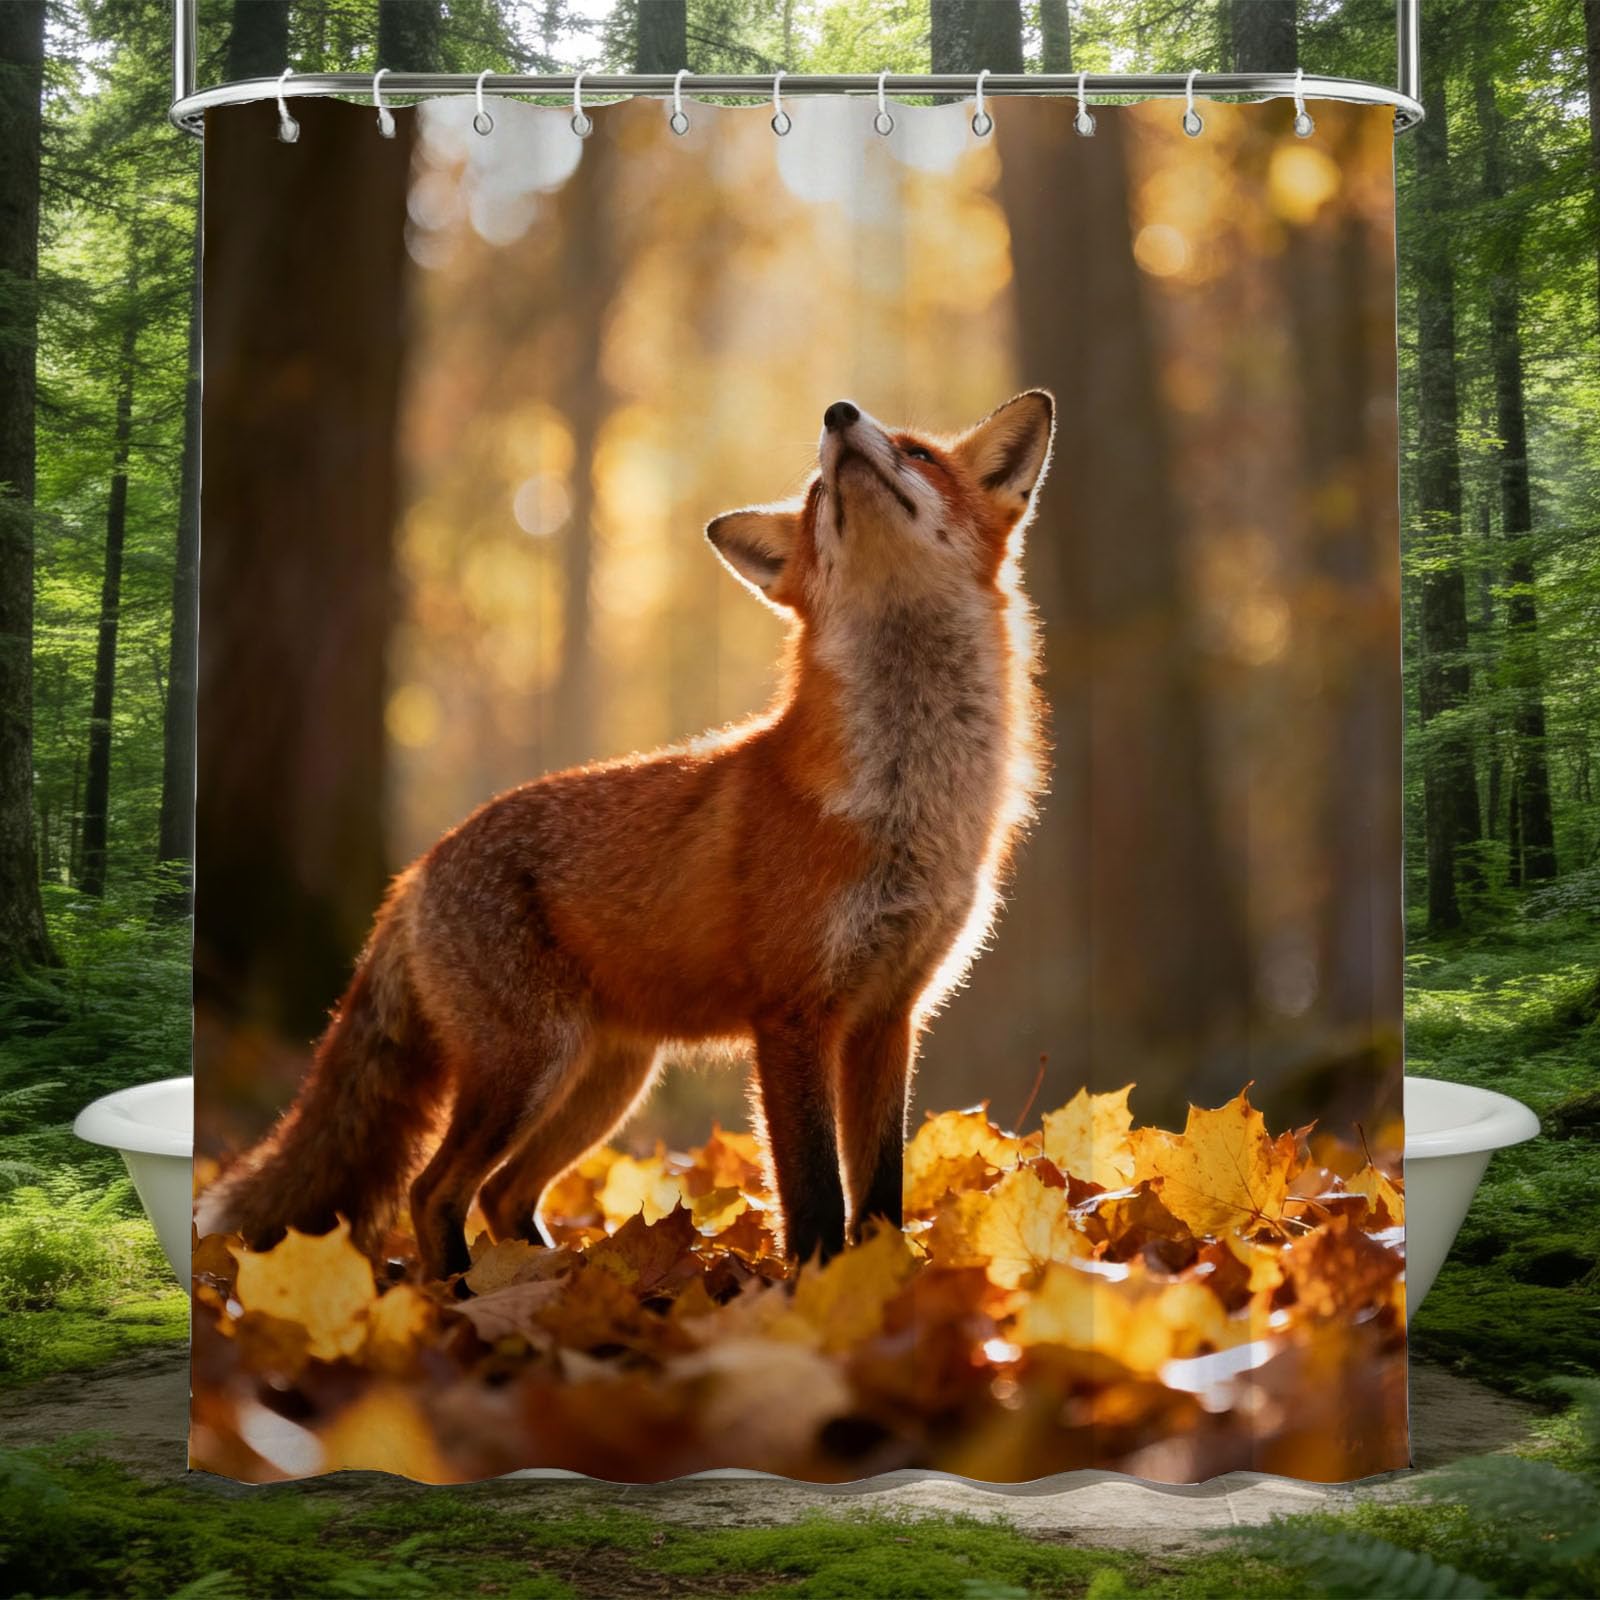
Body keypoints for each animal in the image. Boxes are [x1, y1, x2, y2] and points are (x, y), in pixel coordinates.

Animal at [196, 391, 1056, 1282]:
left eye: (920, 454)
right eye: (819, 491)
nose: (839, 413)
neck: (903, 803)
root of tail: (415, 871)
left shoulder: (889, 1013)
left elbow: (879, 1191)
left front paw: (884, 1280)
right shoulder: (793, 1014)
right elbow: (815, 1192)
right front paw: (815, 1292)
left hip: (603, 1083)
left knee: (502, 1194)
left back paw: (554, 1279)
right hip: (532, 1065)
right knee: (433, 1190)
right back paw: (463, 1294)